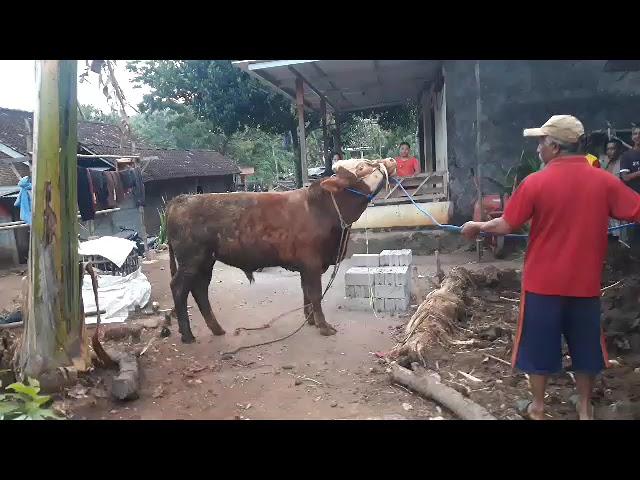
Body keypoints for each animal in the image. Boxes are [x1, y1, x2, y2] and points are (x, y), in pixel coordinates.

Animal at [165, 159, 396, 344]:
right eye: (362, 166)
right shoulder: (311, 262)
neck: (323, 209)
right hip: (191, 260)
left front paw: (310, 319)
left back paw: (217, 329)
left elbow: (306, 291)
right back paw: (187, 335)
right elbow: (315, 293)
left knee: (199, 290)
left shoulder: (307, 265)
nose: (391, 160)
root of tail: (181, 199)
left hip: (205, 261)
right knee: (179, 288)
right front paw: (323, 326)